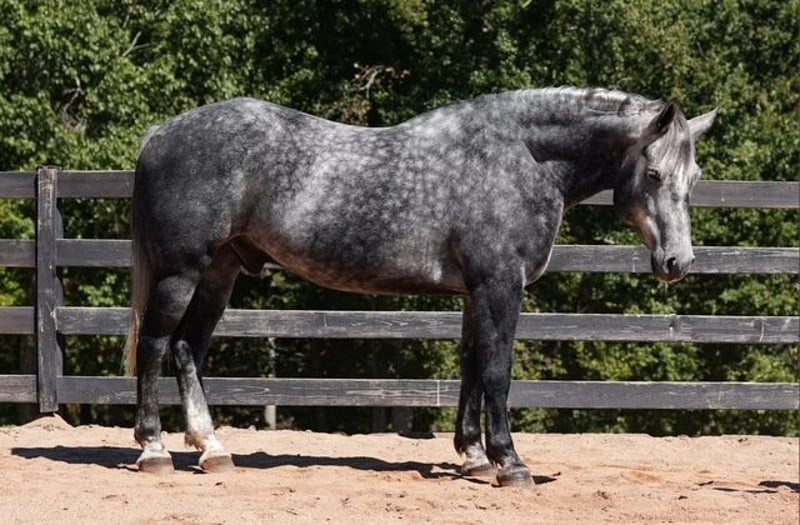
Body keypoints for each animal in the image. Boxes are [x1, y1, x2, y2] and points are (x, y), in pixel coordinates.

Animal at [124, 87, 717, 487]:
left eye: (694, 178)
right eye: (655, 174)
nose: (677, 261)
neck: (521, 157)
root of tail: (159, 135)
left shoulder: (477, 293)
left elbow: (472, 367)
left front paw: (474, 458)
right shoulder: (500, 286)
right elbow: (497, 371)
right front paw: (510, 463)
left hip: (220, 273)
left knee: (188, 347)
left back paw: (212, 448)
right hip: (182, 273)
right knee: (156, 345)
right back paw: (154, 450)